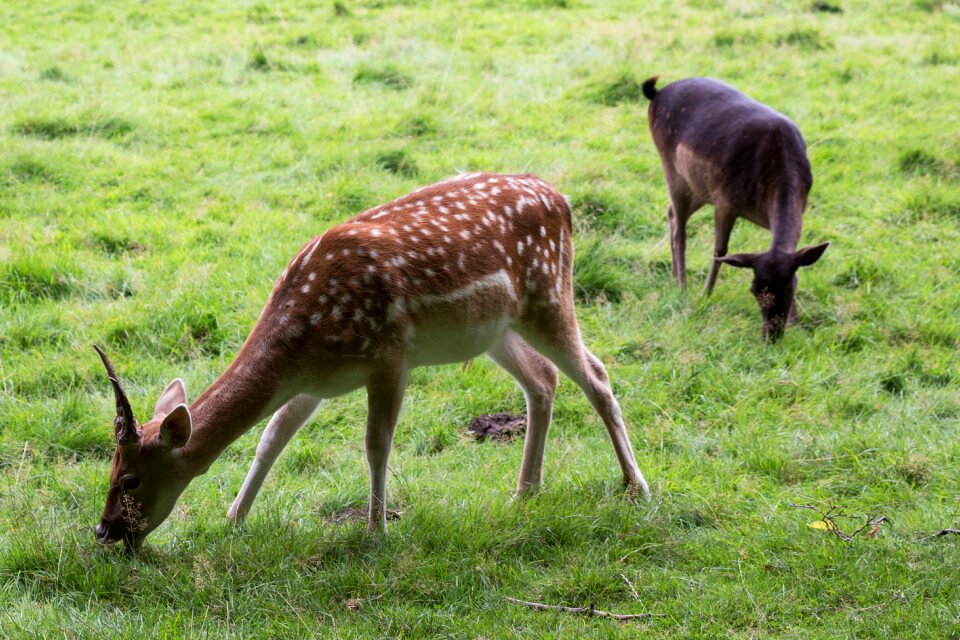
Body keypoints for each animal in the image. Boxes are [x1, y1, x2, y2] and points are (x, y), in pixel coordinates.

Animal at [94, 171, 648, 552]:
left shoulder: (389, 355)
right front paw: (233, 519)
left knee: (596, 374)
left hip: (549, 294)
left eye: (130, 479)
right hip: (493, 329)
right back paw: (525, 492)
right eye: (110, 465)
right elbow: (272, 438)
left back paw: (636, 488)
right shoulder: (312, 382)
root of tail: (562, 201)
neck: (303, 342)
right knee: (543, 379)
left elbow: (375, 443)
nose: (104, 530)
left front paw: (377, 532)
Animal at [640, 77, 828, 342]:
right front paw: (705, 296)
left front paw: (797, 323)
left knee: (671, 213)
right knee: (680, 228)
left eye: (790, 288)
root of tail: (656, 93)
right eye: (754, 290)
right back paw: (682, 286)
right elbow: (720, 251)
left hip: (698, 187)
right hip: (671, 167)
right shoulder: (725, 200)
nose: (771, 335)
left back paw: (675, 276)